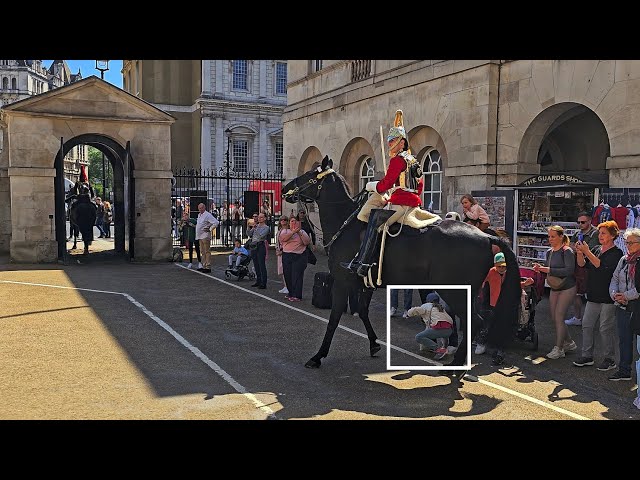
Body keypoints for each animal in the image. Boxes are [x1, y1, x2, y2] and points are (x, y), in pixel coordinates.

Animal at [282, 156, 524, 370]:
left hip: (453, 291)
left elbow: (333, 319)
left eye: (310, 174)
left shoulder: (342, 283)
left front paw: (318, 356)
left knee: (473, 321)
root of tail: (487, 237)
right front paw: (374, 344)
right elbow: (362, 311)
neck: (347, 223)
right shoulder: (364, 283)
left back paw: (456, 365)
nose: (285, 188)